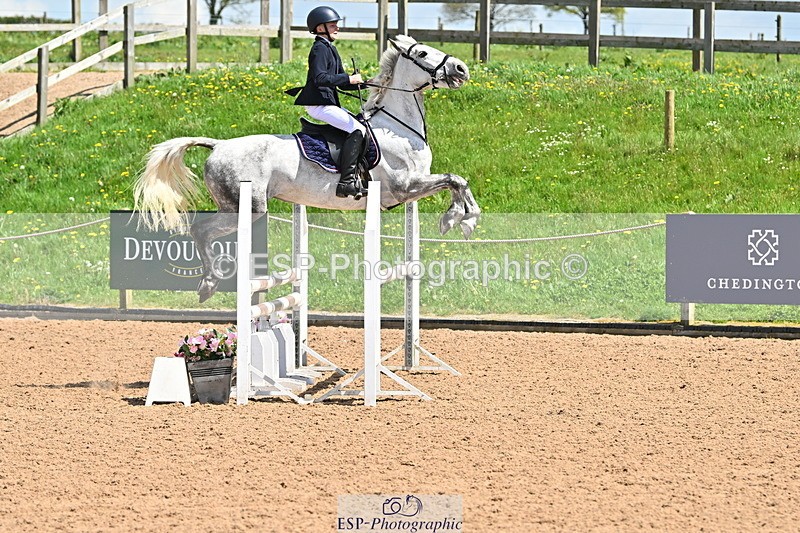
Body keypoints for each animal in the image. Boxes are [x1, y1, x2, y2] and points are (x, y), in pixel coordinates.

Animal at [134, 35, 481, 302]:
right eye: (422, 54)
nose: (461, 69)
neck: (397, 128)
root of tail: (218, 145)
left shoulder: (413, 188)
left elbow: (459, 183)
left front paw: (465, 218)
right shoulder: (403, 187)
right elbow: (455, 179)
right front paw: (457, 220)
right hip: (246, 208)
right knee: (200, 230)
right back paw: (209, 282)